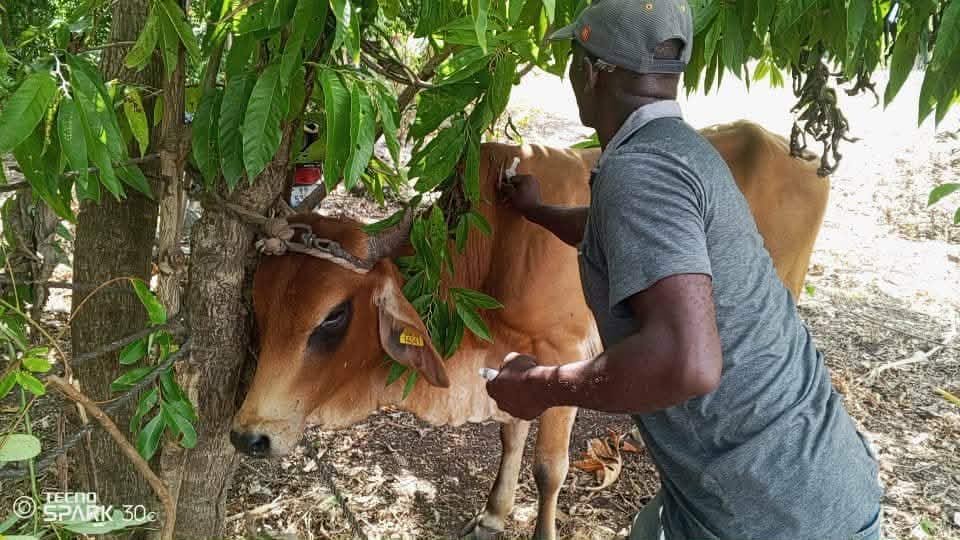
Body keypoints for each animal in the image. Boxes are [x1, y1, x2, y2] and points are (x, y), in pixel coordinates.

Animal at [229, 121, 830, 539]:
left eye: (332, 316)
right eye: (258, 307)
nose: (248, 435)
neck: (491, 248)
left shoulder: (568, 356)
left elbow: (549, 467)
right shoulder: (514, 357)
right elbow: (510, 435)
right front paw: (494, 515)